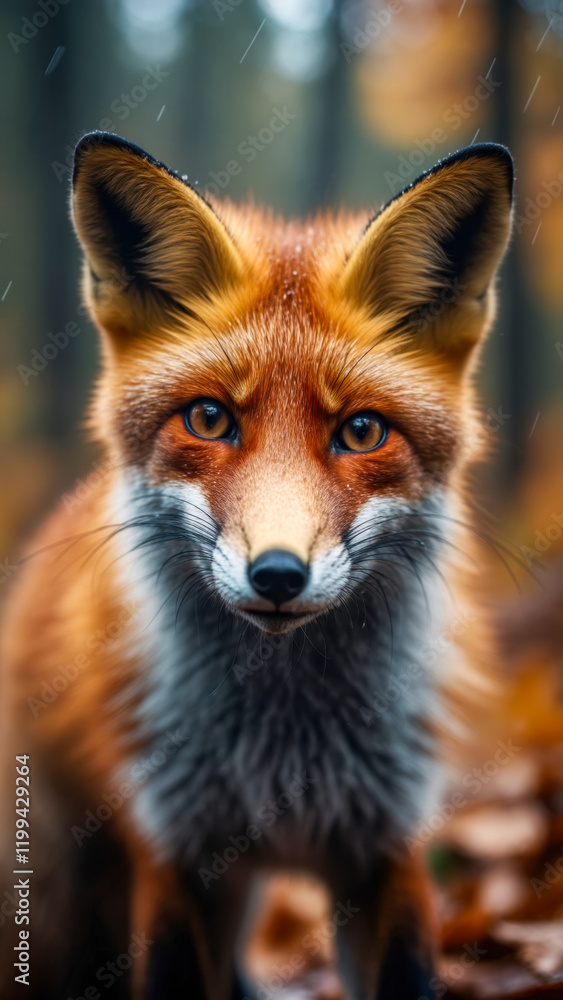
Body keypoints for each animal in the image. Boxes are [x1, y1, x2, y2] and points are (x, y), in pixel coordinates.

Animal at [0, 132, 513, 999]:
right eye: (209, 419)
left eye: (361, 432)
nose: (277, 575)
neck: (283, 754)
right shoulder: (172, 848)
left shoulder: (386, 846)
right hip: (65, 897)